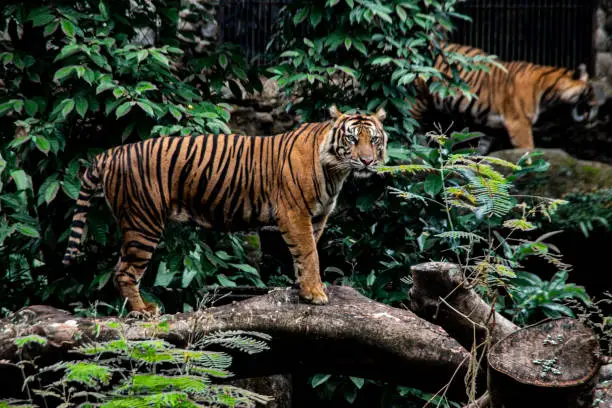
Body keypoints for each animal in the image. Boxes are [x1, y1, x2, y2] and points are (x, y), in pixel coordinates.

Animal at [62, 104, 388, 312]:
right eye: (351, 138)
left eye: (373, 139)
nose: (368, 161)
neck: (336, 172)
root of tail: (111, 153)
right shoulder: (295, 214)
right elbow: (309, 253)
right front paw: (315, 293)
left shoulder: (317, 217)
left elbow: (305, 254)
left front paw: (302, 287)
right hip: (143, 222)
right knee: (124, 271)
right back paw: (142, 311)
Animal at [408, 42, 604, 153]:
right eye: (591, 91)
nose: (597, 106)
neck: (549, 92)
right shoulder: (519, 122)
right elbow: (527, 150)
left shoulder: (490, 126)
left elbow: (482, 150)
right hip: (417, 100)